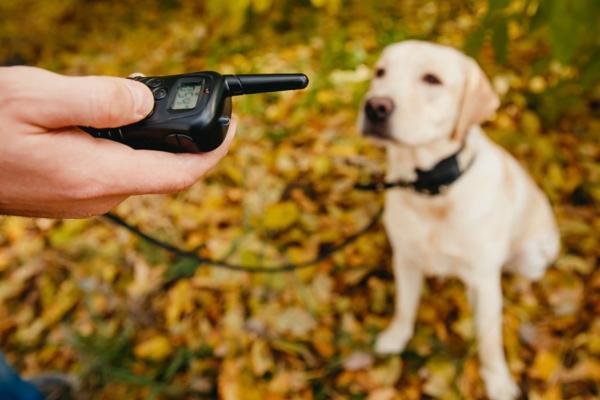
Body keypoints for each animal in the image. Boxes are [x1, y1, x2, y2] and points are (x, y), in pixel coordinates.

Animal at [359, 41, 560, 400]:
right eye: (380, 72)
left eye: (432, 79)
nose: (375, 107)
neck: (430, 189)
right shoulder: (405, 259)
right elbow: (404, 306)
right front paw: (395, 337)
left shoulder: (484, 278)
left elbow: (490, 342)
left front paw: (498, 382)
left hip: (535, 252)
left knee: (524, 275)